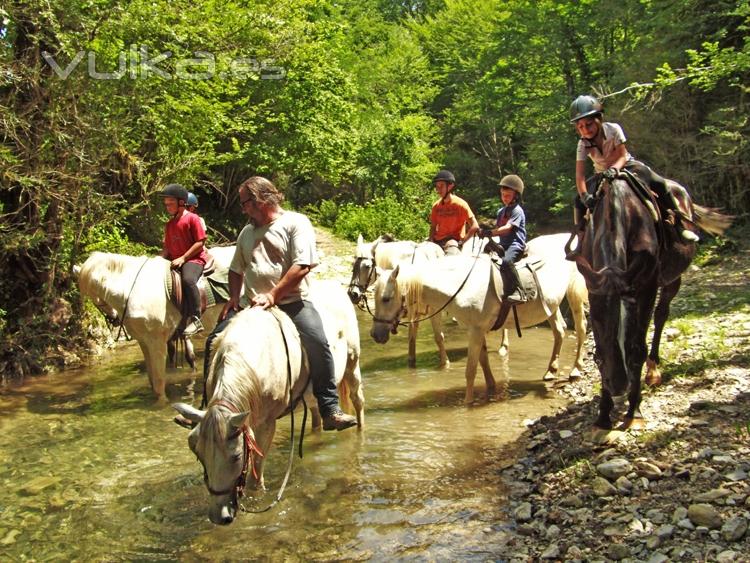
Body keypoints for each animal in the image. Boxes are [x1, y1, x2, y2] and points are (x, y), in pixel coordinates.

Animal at [78, 248, 234, 400]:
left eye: (92, 294)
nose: (114, 319)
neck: (134, 290)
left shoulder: (157, 343)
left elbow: (159, 382)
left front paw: (162, 403)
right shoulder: (144, 342)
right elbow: (152, 380)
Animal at [174, 284, 368, 528]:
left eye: (236, 456)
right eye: (199, 455)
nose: (220, 516)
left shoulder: (265, 424)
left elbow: (255, 473)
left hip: (353, 362)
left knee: (358, 401)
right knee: (316, 416)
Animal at [348, 232, 450, 366]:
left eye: (367, 266)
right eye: (353, 265)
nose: (352, 294)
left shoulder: (434, 310)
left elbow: (438, 337)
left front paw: (445, 364)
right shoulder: (412, 312)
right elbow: (411, 340)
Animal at [374, 234, 592, 406]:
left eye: (386, 298)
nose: (376, 335)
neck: (462, 284)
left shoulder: (477, 330)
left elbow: (471, 369)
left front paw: (468, 402)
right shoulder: (476, 329)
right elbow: (484, 361)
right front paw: (491, 389)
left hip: (574, 293)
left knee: (580, 329)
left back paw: (575, 369)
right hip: (551, 307)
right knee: (559, 331)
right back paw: (551, 371)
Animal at [572, 178, 732, 430]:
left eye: (629, 315)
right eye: (596, 318)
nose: (618, 384)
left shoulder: (646, 288)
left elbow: (637, 348)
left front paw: (634, 412)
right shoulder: (593, 288)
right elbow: (599, 350)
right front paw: (603, 414)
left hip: (672, 279)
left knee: (661, 315)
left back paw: (653, 371)